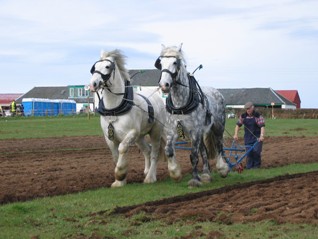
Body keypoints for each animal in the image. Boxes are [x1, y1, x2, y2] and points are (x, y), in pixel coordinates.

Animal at [88, 50, 178, 187]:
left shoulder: (132, 133)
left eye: (107, 67)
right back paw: (147, 171)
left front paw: (120, 173)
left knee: (155, 152)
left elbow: (122, 148)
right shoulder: (109, 137)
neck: (115, 108)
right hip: (139, 138)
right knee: (147, 150)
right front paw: (119, 181)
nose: (93, 84)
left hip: (156, 131)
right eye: (95, 67)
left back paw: (151, 177)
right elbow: (115, 155)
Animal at [156, 44, 229, 187]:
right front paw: (175, 173)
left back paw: (222, 168)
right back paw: (206, 174)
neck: (180, 103)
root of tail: (217, 92)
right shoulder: (172, 130)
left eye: (175, 62)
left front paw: (195, 179)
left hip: (217, 127)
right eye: (160, 63)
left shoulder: (195, 130)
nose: (164, 85)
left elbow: (193, 156)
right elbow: (168, 150)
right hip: (198, 132)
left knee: (219, 145)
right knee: (204, 151)